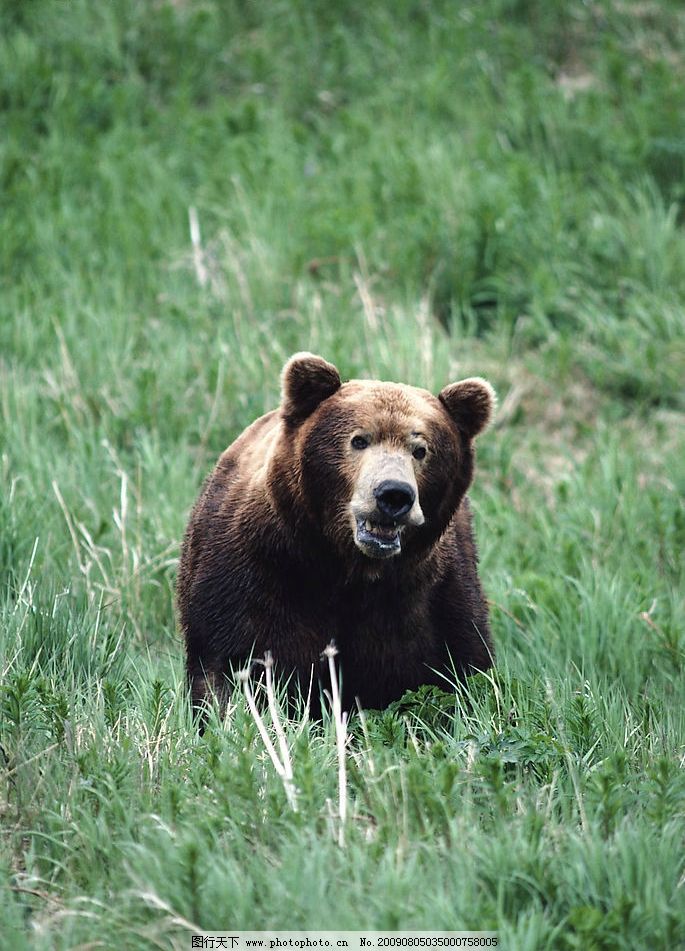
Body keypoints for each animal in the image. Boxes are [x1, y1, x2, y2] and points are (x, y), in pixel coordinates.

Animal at [176, 354, 494, 716]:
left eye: (420, 449)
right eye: (359, 440)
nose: (393, 495)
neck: (345, 567)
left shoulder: (428, 597)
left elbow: (456, 669)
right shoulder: (255, 576)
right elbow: (234, 664)